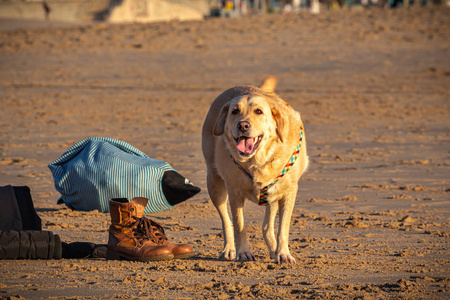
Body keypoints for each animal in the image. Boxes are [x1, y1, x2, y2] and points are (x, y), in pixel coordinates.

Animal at [202, 77, 308, 262]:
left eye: (259, 111)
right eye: (235, 111)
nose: (243, 125)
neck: (259, 161)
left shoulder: (289, 190)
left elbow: (283, 227)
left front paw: (283, 253)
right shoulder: (234, 191)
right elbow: (238, 224)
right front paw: (243, 252)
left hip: (274, 194)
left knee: (267, 226)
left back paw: (274, 250)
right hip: (214, 183)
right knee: (226, 220)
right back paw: (229, 249)